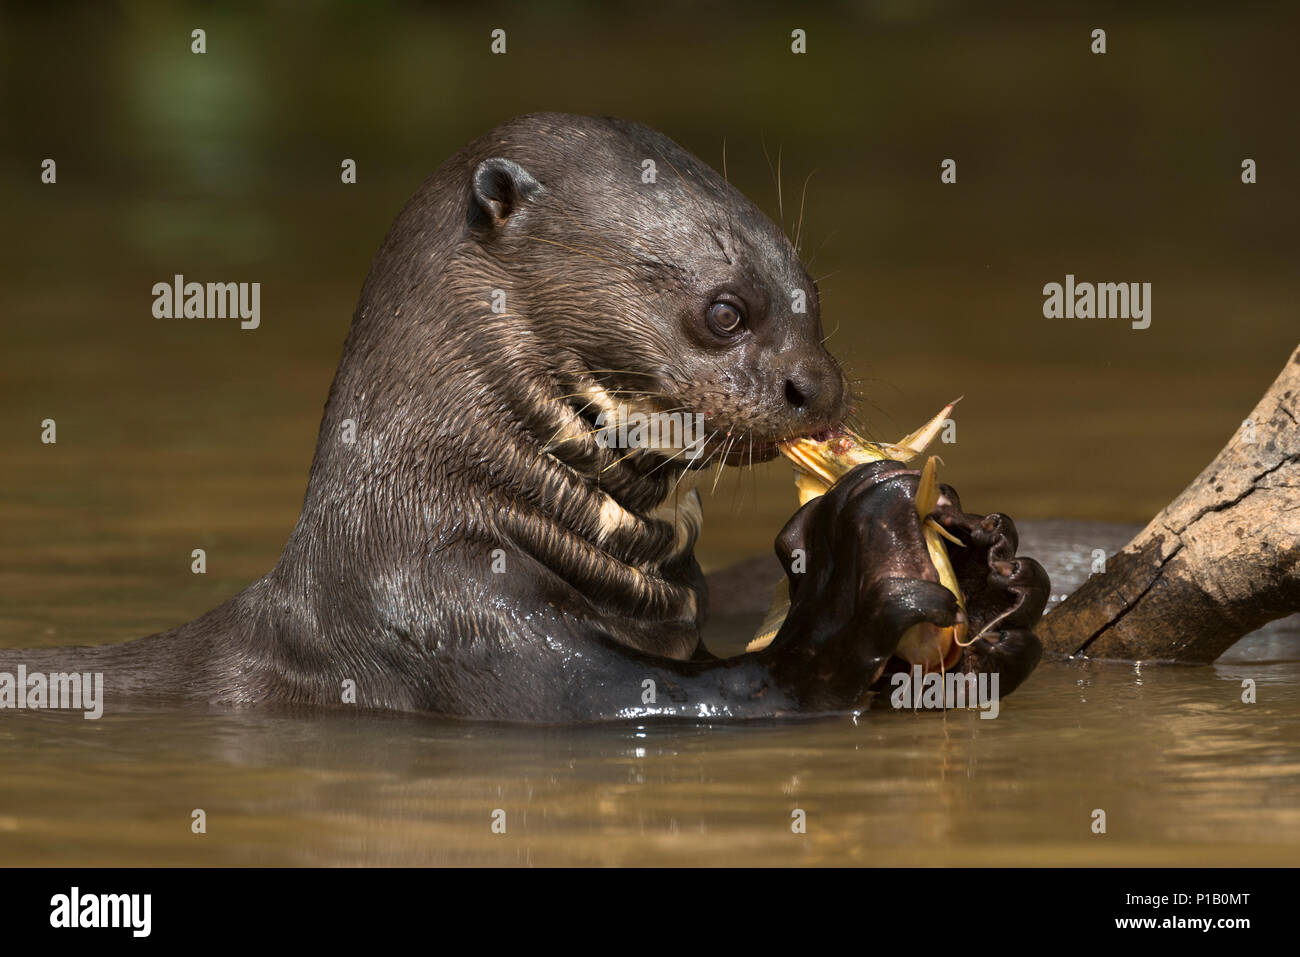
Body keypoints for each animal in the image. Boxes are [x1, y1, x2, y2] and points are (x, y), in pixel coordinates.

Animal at [7, 113, 1045, 717]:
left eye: (812, 301)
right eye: (724, 311)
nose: (817, 388)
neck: (446, 511)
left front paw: (1000, 574)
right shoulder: (457, 625)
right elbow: (740, 690)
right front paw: (854, 571)